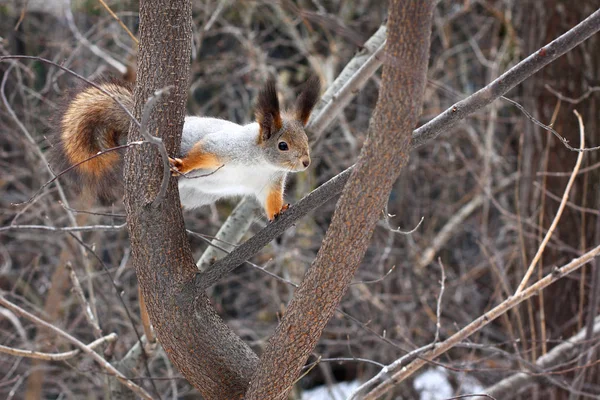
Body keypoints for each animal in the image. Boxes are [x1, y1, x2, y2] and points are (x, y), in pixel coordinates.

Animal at [54, 76, 322, 220]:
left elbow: (270, 199)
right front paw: (182, 165)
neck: (261, 162)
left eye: (306, 139)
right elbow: (204, 150)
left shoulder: (270, 182)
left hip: (197, 195)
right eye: (282, 145)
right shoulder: (225, 146)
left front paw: (279, 211)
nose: (306, 162)